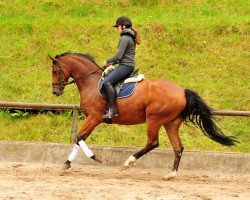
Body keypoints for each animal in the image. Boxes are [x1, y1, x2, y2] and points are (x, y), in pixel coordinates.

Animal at [48, 51, 236, 180]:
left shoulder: (94, 117)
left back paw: (128, 163)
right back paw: (171, 174)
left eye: (55, 70)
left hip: (154, 119)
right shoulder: (92, 119)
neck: (92, 82)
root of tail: (182, 91)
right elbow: (80, 138)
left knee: (153, 143)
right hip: (171, 123)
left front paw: (96, 158)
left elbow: (80, 136)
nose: (56, 91)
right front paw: (66, 164)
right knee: (178, 148)